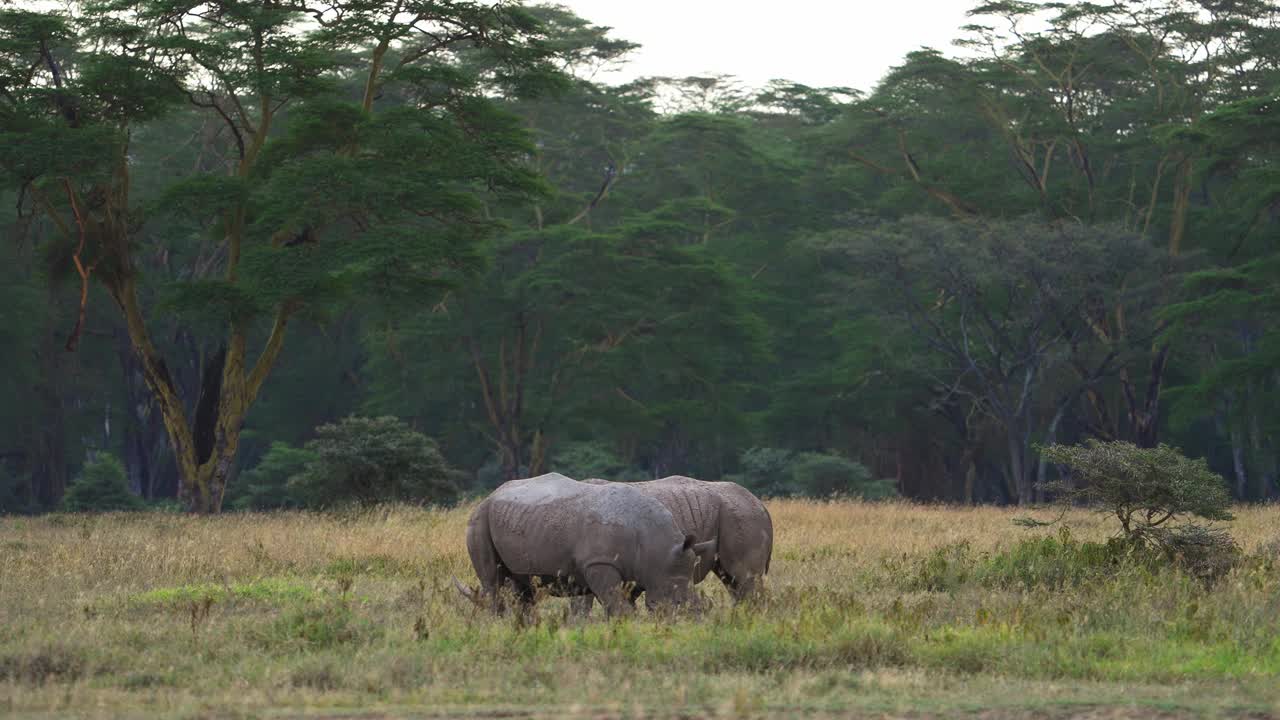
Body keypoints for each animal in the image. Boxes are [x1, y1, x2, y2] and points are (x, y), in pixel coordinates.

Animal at [455, 468, 716, 614]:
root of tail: (491, 495)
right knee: (493, 581)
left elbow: (620, 606)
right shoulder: (599, 563)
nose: (687, 615)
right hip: (479, 519)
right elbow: (617, 606)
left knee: (522, 586)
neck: (656, 545)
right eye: (675, 597)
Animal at [578, 471, 773, 609]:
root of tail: (760, 503)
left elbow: (583, 604)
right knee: (732, 582)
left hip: (743, 515)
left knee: (744, 578)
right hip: (734, 513)